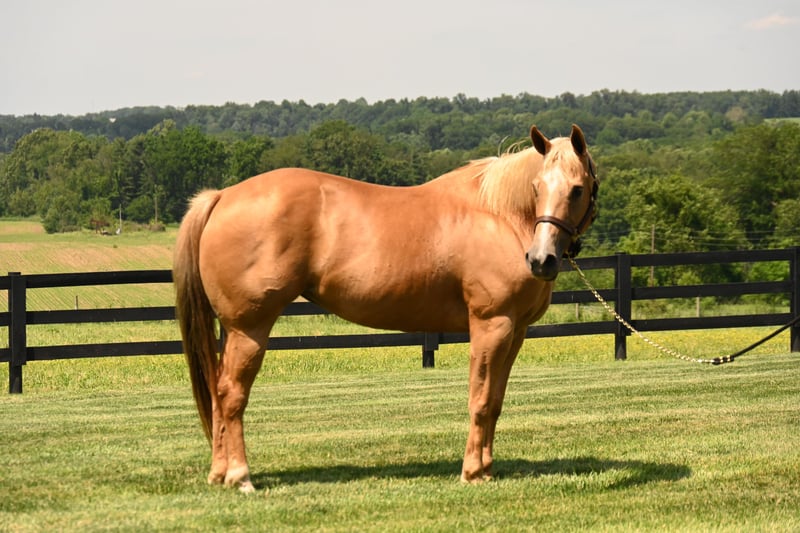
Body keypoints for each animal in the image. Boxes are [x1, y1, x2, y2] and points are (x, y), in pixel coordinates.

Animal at [173, 124, 598, 492]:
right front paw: (471, 472)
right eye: (537, 187)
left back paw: (219, 473)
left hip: (231, 331)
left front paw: (487, 469)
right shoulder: (491, 326)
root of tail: (222, 197)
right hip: (249, 329)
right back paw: (240, 476)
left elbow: (494, 402)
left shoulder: (516, 331)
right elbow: (479, 401)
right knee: (231, 394)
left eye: (577, 189)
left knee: (217, 392)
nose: (541, 260)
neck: (499, 216)